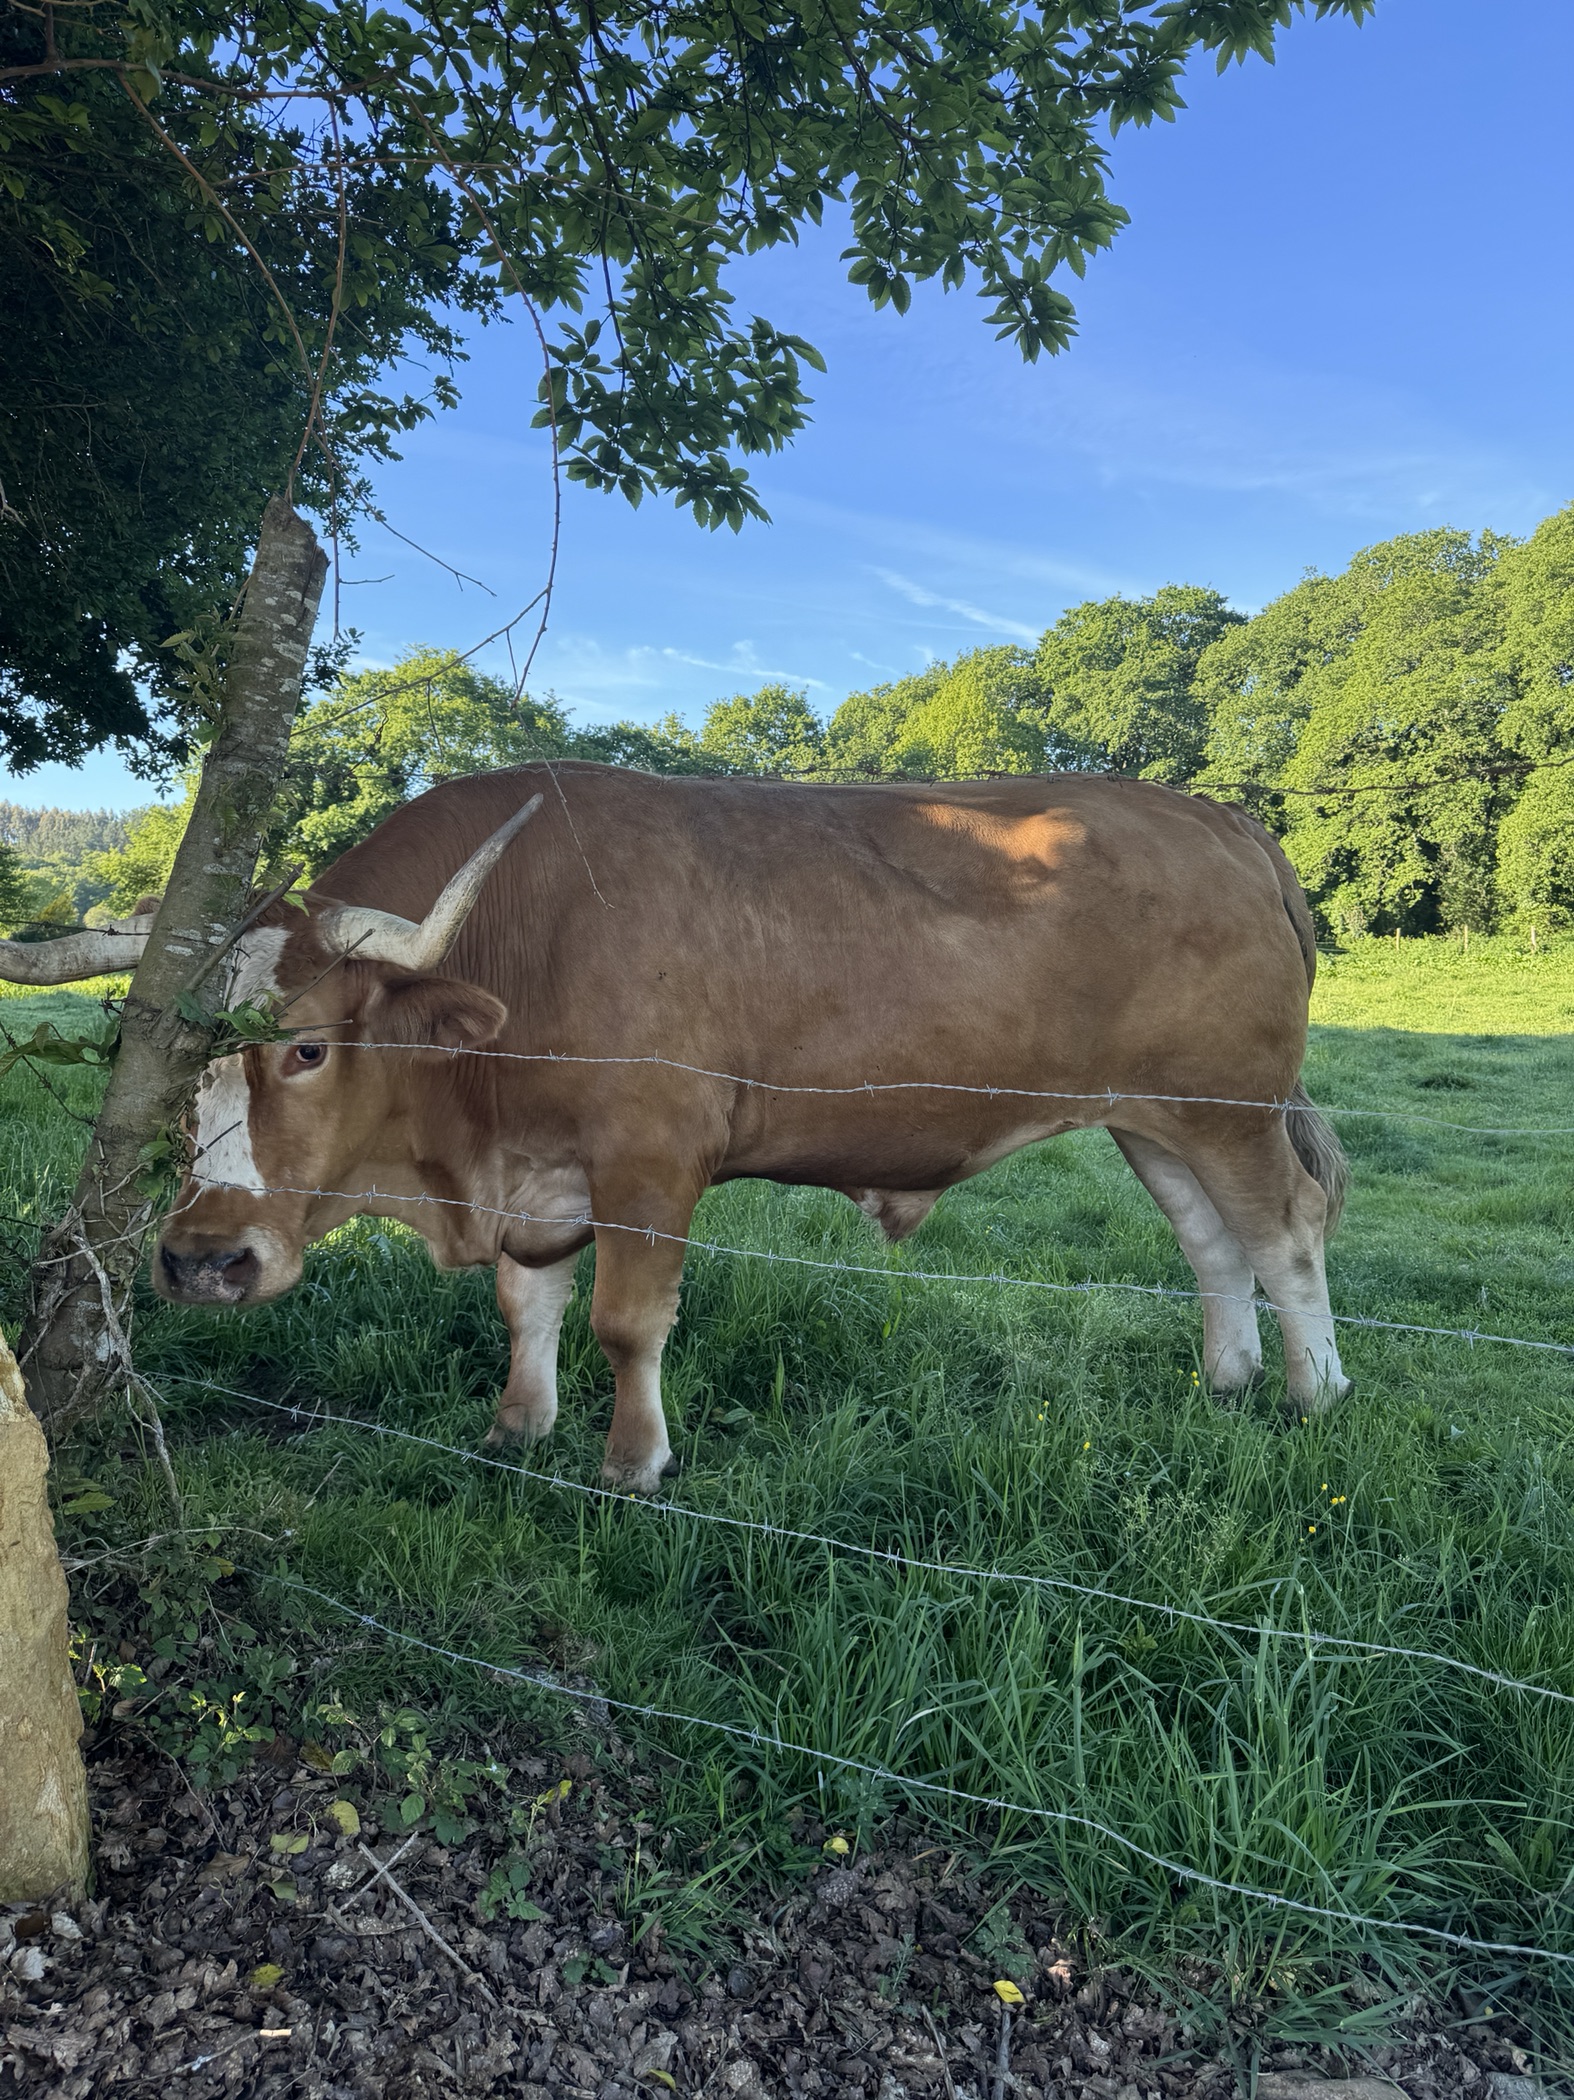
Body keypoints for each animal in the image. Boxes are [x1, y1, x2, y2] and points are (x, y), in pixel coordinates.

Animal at [2, 766, 1351, 1491]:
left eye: (308, 1045)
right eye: (160, 1057)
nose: (200, 1262)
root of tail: (1225, 823)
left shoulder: (650, 1159)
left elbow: (625, 1320)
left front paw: (631, 1461)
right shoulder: (540, 1178)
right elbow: (527, 1305)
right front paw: (519, 1425)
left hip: (1226, 1108)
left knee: (1282, 1233)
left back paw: (1311, 1394)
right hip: (1150, 1121)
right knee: (1209, 1241)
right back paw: (1226, 1380)